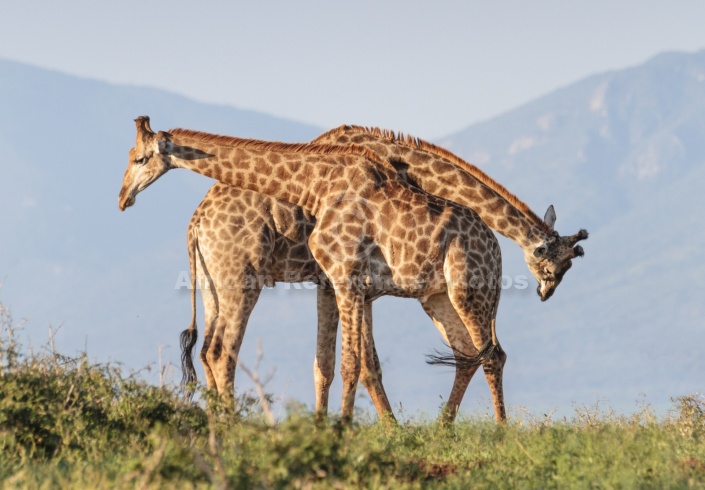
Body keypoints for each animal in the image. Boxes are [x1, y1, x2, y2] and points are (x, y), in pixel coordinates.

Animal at [121, 117, 506, 424]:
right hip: (440, 296)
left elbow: (349, 364)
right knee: (473, 354)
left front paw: (342, 429)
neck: (315, 185)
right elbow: (342, 364)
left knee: (491, 354)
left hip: (468, 292)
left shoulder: (348, 279)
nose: (123, 197)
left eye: (140, 157)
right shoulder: (341, 283)